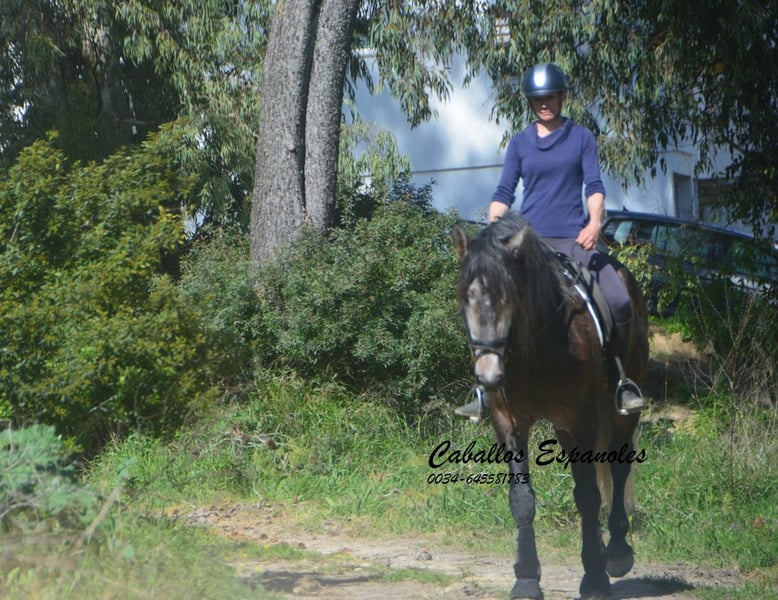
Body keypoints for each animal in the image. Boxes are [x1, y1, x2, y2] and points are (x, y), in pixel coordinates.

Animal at [451, 213, 649, 600]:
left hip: (617, 411)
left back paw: (617, 553)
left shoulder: (583, 421)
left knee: (617, 469)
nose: (489, 375)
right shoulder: (509, 422)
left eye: (509, 296)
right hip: (562, 427)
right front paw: (526, 579)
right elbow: (522, 499)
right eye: (466, 297)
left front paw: (595, 578)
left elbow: (587, 495)